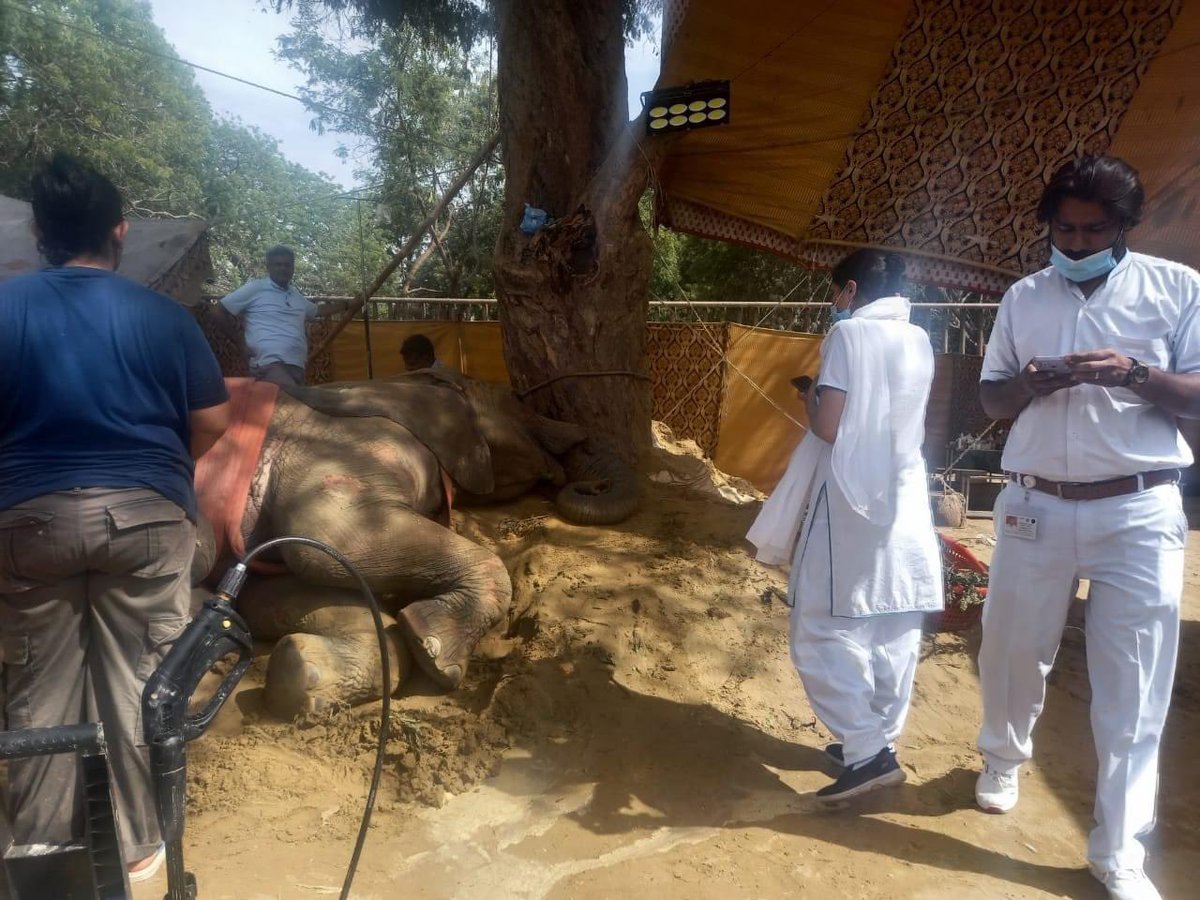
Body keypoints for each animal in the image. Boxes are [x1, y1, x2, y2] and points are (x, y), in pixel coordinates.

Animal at [198, 372, 643, 720]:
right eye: (519, 401)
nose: (592, 484)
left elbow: (275, 593)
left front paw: (299, 674)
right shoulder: (349, 450)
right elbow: (327, 540)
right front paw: (437, 658)